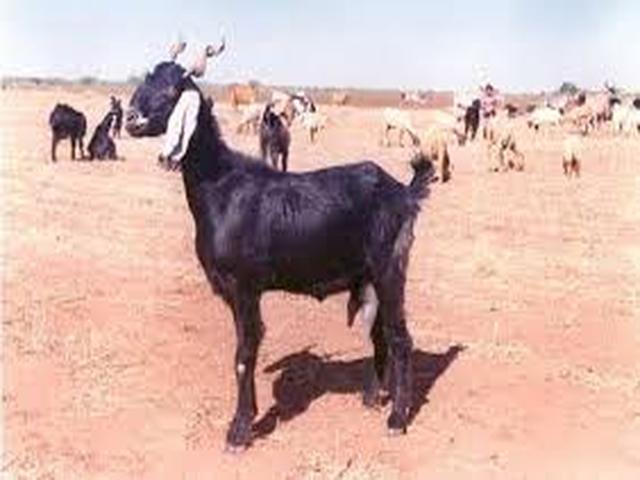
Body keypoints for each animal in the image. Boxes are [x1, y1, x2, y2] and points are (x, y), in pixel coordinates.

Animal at [125, 39, 435, 451]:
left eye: (174, 89)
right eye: (147, 78)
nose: (131, 119)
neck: (220, 186)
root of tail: (404, 191)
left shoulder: (244, 287)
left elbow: (244, 353)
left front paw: (239, 430)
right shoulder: (233, 292)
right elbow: (246, 351)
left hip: (390, 269)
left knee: (401, 338)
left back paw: (397, 418)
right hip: (368, 277)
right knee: (379, 331)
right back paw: (373, 397)